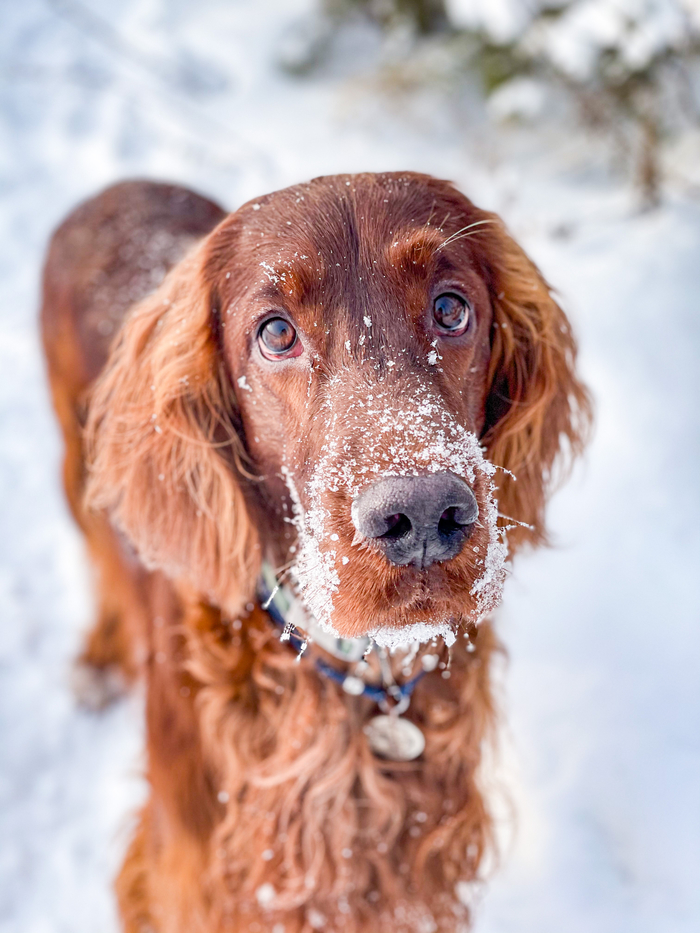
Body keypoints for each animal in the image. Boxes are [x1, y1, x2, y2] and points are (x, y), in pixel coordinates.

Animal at [41, 177, 592, 932]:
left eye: (451, 308)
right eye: (277, 333)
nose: (424, 514)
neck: (364, 677)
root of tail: (117, 187)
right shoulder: (180, 881)